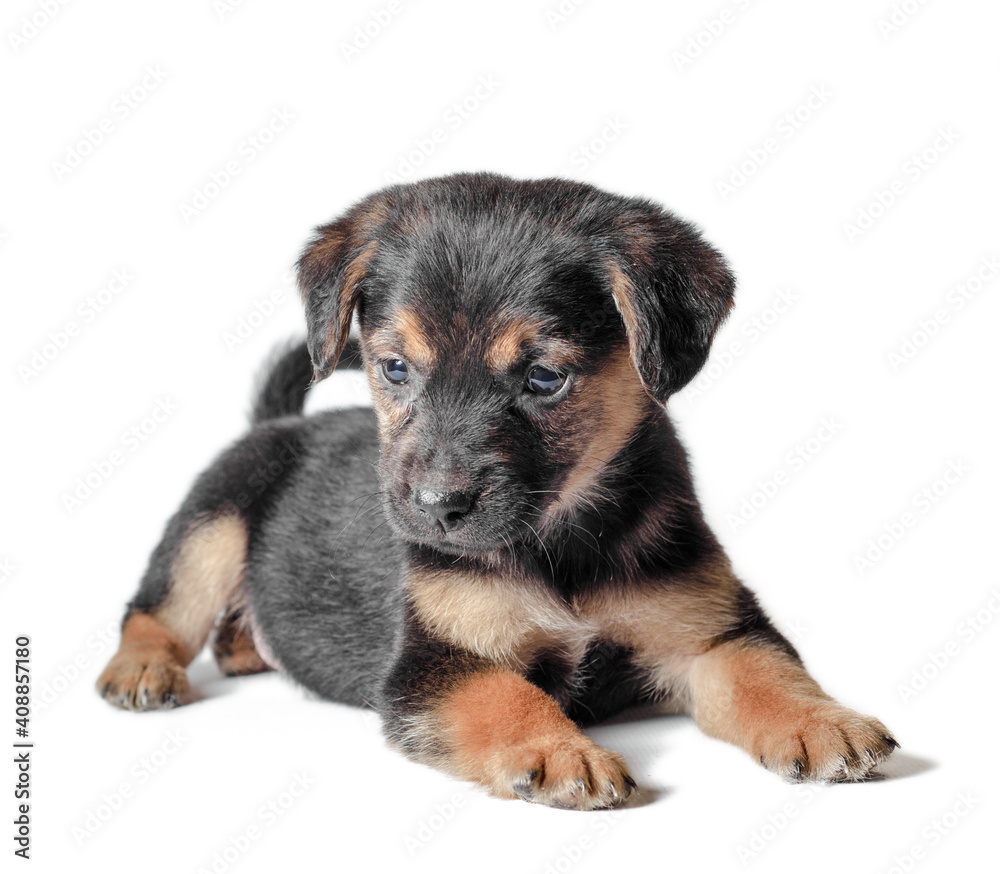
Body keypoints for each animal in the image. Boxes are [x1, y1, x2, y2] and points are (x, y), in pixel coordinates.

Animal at [97, 174, 900, 808]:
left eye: (544, 378)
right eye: (394, 368)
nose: (436, 510)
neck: (561, 544)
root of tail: (279, 422)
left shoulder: (707, 631)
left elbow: (764, 670)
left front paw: (822, 721)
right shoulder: (436, 661)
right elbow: (502, 694)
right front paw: (557, 751)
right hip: (212, 524)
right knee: (156, 608)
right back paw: (143, 669)